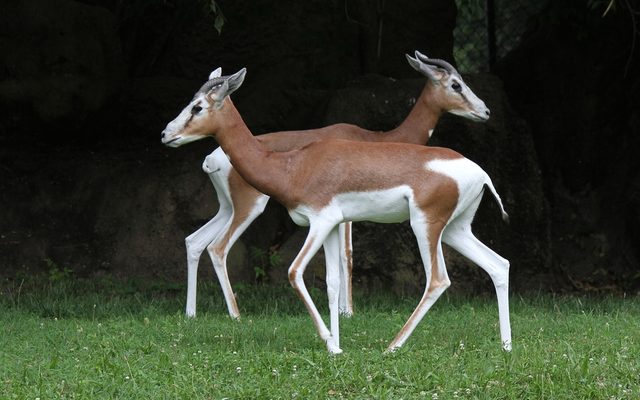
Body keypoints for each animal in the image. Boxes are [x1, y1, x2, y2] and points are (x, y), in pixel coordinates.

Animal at [161, 67, 512, 354]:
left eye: (197, 106)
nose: (166, 134)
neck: (292, 166)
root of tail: (480, 172)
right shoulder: (331, 226)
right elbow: (330, 281)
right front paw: (337, 344)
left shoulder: (322, 221)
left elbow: (295, 272)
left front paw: (330, 342)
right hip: (455, 230)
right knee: (499, 264)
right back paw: (506, 346)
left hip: (425, 225)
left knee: (438, 280)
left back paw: (392, 346)